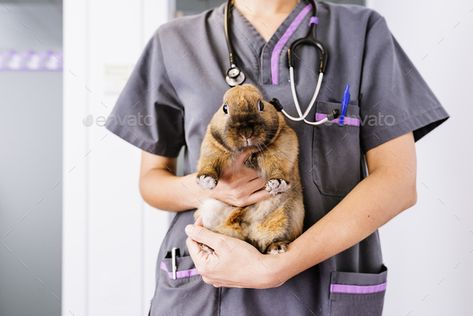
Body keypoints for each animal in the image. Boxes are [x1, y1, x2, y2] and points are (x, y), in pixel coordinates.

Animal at [194, 83, 304, 254]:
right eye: (225, 108)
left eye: (261, 105)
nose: (246, 132)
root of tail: (247, 228)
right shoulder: (212, 147)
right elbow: (209, 163)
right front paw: (206, 181)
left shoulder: (283, 144)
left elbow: (278, 165)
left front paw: (276, 184)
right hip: (211, 211)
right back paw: (208, 247)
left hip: (291, 216)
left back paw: (277, 248)